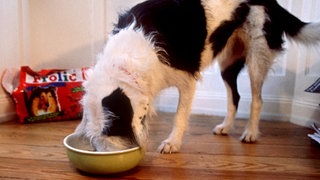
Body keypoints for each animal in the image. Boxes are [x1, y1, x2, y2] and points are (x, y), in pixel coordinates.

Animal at [74, 0, 318, 154]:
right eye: (92, 139)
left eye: (112, 130)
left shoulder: (187, 81)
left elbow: (179, 116)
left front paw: (172, 143)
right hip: (228, 63)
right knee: (235, 97)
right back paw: (225, 127)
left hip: (258, 54)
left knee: (257, 99)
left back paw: (250, 133)